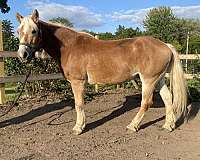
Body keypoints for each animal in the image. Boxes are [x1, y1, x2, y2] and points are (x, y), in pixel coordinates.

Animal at [16, 9, 188, 135]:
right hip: (158, 79)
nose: (22, 54)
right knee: (168, 99)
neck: (69, 46)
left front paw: (78, 127)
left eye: (34, 31)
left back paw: (133, 126)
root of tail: (165, 45)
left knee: (146, 102)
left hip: (149, 80)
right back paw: (168, 125)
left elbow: (79, 104)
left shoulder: (77, 82)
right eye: (18, 31)